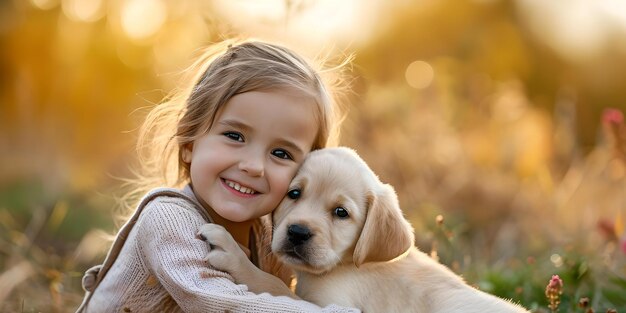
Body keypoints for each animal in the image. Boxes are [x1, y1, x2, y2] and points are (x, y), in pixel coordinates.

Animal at [197, 147, 528, 312]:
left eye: (341, 213)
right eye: (294, 194)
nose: (298, 232)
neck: (347, 264)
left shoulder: (331, 304)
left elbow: (273, 286)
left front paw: (231, 252)